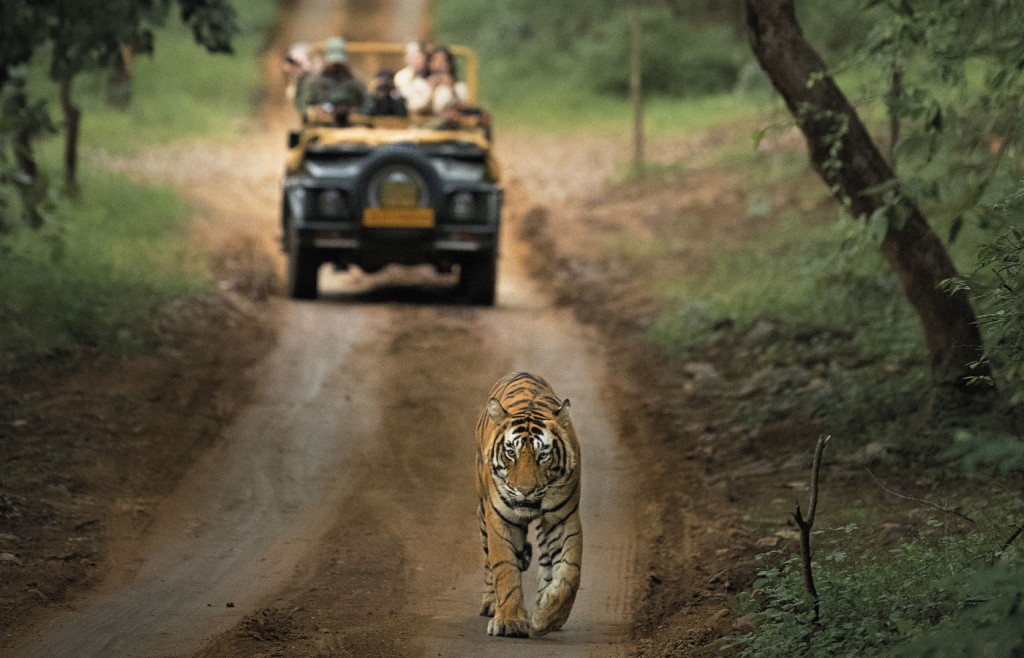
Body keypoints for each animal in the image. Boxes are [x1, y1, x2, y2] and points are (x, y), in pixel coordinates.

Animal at [473, 376, 581, 638]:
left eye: (543, 455)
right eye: (511, 452)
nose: (525, 490)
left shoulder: (564, 519)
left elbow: (570, 573)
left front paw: (546, 617)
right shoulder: (500, 519)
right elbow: (505, 568)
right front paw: (509, 621)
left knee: (547, 563)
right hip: (482, 513)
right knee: (488, 560)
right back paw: (490, 604)